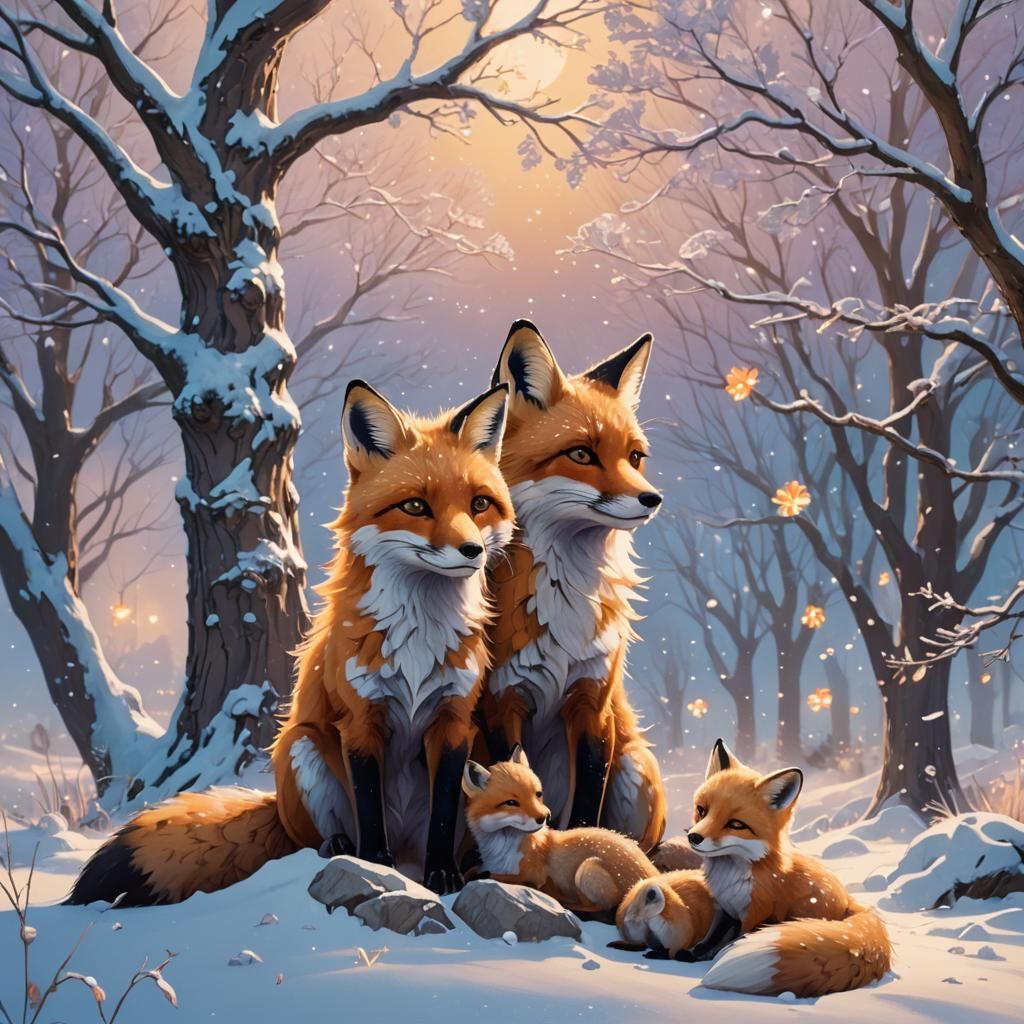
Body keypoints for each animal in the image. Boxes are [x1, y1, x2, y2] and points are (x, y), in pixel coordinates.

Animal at [68, 380, 513, 905]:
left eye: (479, 504)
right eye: (416, 506)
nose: (472, 551)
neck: (420, 639)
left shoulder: (454, 722)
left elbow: (443, 814)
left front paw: (442, 875)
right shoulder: (359, 722)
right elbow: (369, 811)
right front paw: (373, 865)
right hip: (301, 744)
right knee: (317, 838)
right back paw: (341, 847)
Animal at [461, 745, 657, 915]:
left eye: (538, 794)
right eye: (511, 802)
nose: (544, 817)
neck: (503, 850)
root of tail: (650, 872)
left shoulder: (532, 875)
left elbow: (488, 875)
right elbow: (473, 871)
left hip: (586, 869)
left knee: (602, 907)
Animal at [479, 319, 666, 852]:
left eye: (635, 457)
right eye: (581, 453)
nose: (653, 499)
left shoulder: (592, 701)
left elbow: (587, 806)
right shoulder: (501, 702)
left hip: (635, 765)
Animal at [624, 739, 892, 998]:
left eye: (735, 824)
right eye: (702, 810)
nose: (694, 837)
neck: (732, 877)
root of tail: (850, 901)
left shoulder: (756, 912)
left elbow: (735, 940)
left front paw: (718, 957)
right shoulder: (724, 908)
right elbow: (713, 938)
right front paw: (695, 954)